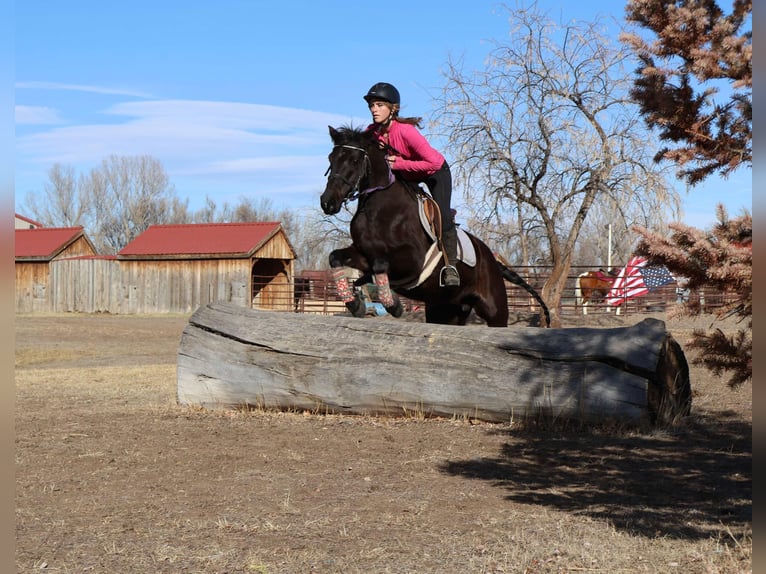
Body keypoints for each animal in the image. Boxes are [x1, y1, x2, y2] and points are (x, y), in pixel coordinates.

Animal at [319, 125, 550, 328]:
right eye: (331, 158)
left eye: (354, 160)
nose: (327, 202)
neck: (379, 209)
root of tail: (493, 261)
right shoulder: (363, 252)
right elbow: (336, 257)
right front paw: (354, 302)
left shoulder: (413, 261)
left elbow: (379, 265)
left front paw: (392, 304)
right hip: (446, 310)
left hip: (495, 311)